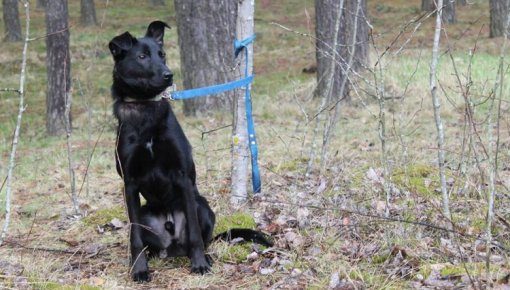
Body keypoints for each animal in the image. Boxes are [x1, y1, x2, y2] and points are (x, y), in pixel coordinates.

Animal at [110, 21, 272, 284]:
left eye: (162, 54)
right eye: (142, 56)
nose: (168, 75)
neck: (146, 107)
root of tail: (173, 246)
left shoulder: (182, 176)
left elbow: (195, 233)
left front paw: (199, 265)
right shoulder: (130, 183)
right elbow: (134, 237)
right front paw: (139, 269)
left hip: (201, 205)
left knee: (201, 239)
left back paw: (205, 256)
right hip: (145, 215)